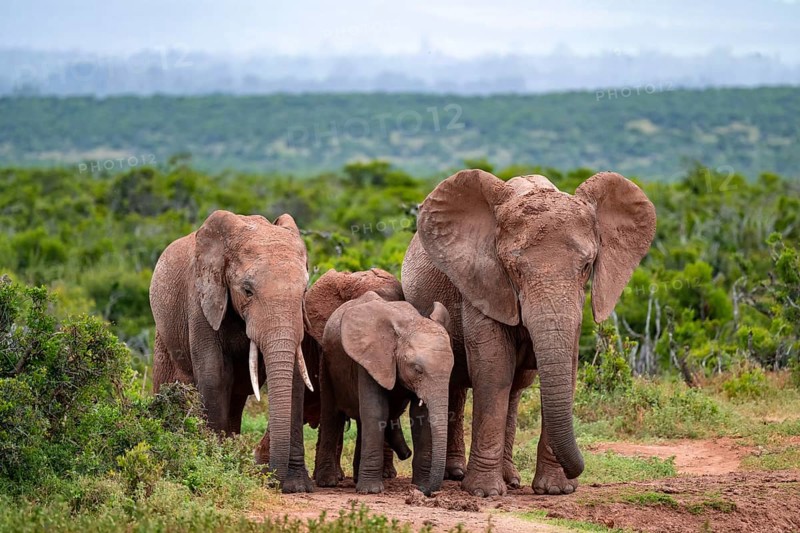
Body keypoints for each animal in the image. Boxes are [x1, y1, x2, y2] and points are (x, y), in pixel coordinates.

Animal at [149, 209, 314, 493]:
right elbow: (214, 375)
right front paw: (218, 469)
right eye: (247, 290)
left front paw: (297, 486)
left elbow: (295, 380)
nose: (272, 479)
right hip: (165, 334)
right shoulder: (201, 301)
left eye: (304, 291)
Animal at [314, 291, 454, 495]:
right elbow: (376, 411)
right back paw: (327, 482)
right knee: (332, 416)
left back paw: (356, 479)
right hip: (327, 362)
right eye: (417, 369)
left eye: (451, 369)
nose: (426, 491)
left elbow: (420, 416)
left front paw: (419, 485)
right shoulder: (370, 359)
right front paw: (371, 491)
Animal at [401, 170, 656, 497]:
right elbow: (494, 367)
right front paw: (484, 493)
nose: (579, 470)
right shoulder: (483, 282)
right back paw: (455, 475)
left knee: (515, 388)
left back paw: (510, 478)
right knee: (457, 383)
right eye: (514, 269)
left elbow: (567, 366)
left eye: (587, 266)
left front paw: (556, 490)